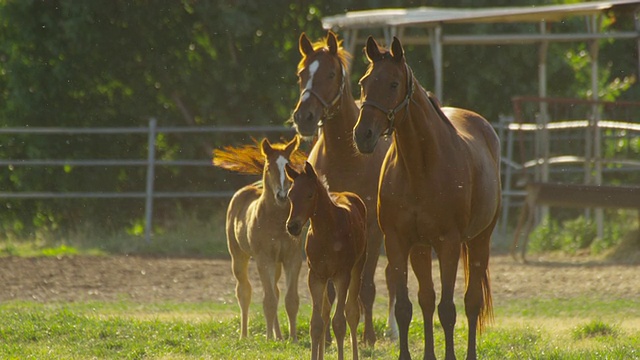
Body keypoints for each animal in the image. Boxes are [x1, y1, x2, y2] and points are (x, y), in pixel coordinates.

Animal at [225, 136, 304, 342]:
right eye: (269, 167)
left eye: (289, 165)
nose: (282, 195)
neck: (276, 221)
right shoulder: (264, 259)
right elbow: (268, 300)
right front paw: (268, 338)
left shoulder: (292, 258)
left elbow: (290, 299)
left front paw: (293, 338)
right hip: (238, 256)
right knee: (244, 291)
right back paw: (244, 335)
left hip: (276, 264)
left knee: (275, 290)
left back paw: (280, 336)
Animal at [284, 162, 364, 360]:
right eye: (290, 195)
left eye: (310, 194)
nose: (292, 226)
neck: (327, 233)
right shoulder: (315, 276)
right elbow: (316, 323)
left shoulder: (342, 276)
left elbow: (339, 323)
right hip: (327, 277)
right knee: (326, 311)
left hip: (358, 267)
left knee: (352, 311)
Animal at [292, 29, 390, 344]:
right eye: (301, 73)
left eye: (331, 73)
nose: (304, 117)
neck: (346, 156)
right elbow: (332, 293)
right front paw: (327, 338)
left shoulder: (372, 230)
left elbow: (367, 288)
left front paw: (368, 336)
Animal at [352, 37, 502, 360]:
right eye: (363, 82)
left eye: (394, 83)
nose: (363, 135)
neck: (419, 167)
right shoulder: (397, 242)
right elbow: (407, 307)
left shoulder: (448, 244)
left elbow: (448, 309)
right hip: (421, 249)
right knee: (426, 299)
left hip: (479, 240)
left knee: (471, 302)